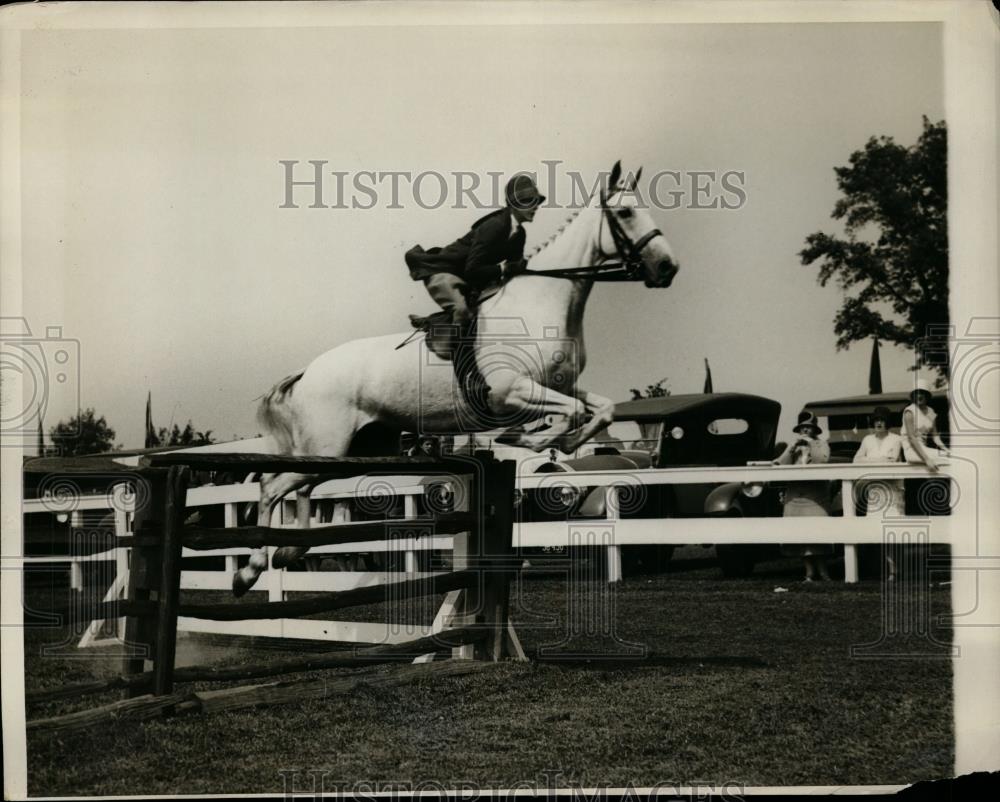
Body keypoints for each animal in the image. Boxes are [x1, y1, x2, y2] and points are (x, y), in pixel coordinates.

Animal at [232, 161, 679, 595]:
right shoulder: (510, 392)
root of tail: (308, 371)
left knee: (301, 486)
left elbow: (601, 410)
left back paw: (291, 550)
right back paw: (249, 572)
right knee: (272, 484)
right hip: (329, 443)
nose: (668, 268)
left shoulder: (558, 386)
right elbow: (566, 414)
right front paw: (529, 439)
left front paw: (559, 442)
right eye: (626, 213)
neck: (544, 302)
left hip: (347, 450)